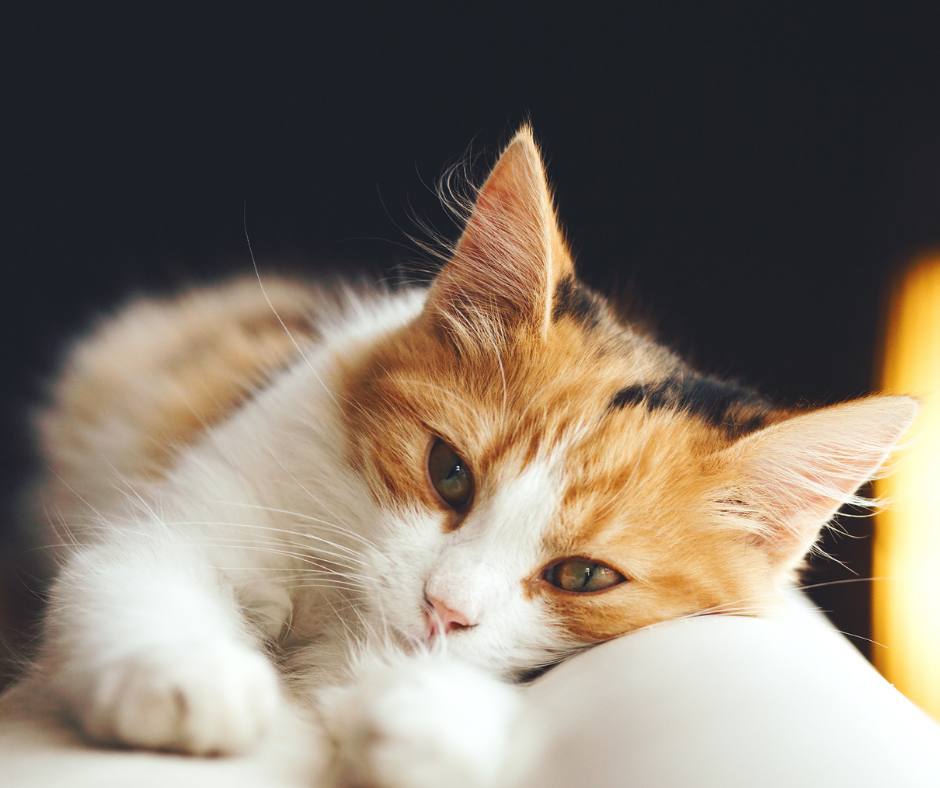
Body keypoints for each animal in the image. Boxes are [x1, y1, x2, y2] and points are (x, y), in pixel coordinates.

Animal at [31, 129, 916, 788]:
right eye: (448, 473)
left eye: (584, 576)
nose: (442, 610)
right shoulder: (191, 513)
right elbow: (145, 580)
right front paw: (189, 682)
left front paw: (420, 715)